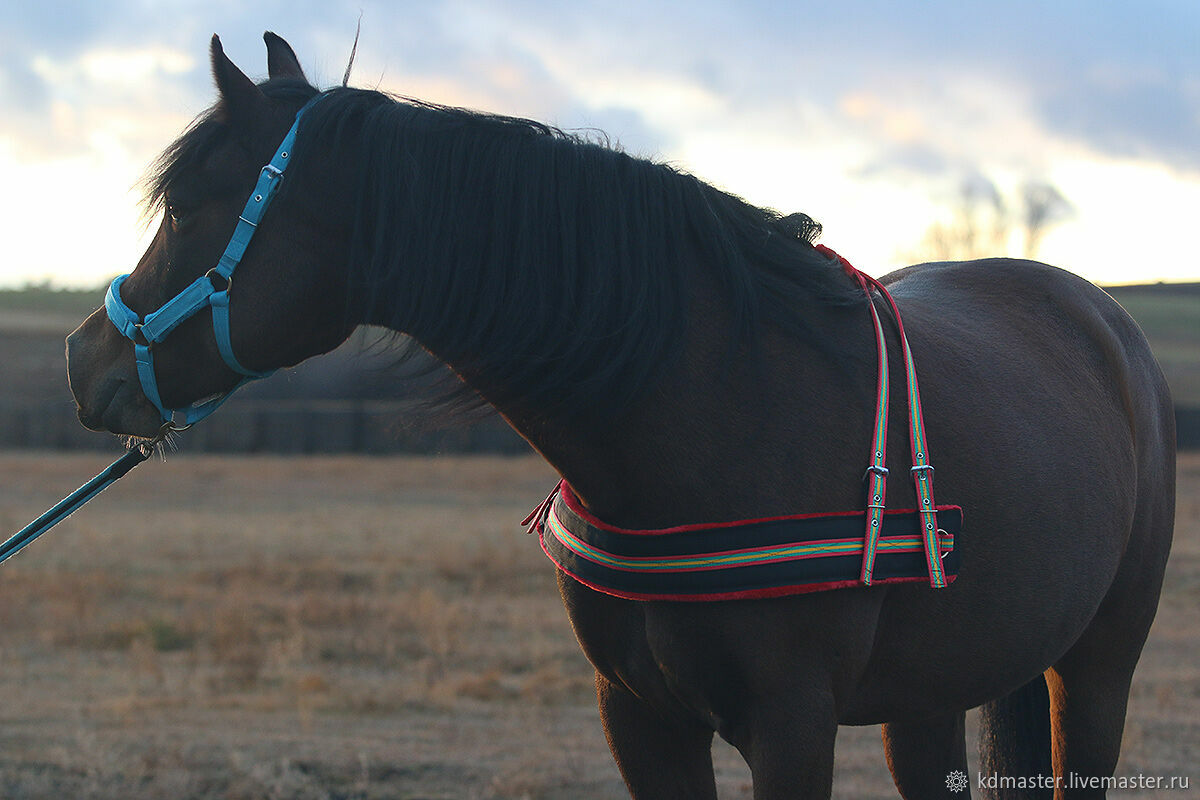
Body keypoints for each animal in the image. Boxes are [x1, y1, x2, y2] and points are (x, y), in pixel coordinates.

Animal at [63, 32, 1171, 800]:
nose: (85, 359)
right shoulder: (641, 719)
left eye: (191, 205)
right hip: (934, 692)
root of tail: (1097, 312)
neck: (707, 410)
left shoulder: (794, 723)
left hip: (1096, 668)